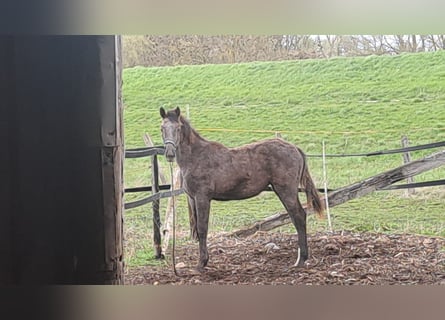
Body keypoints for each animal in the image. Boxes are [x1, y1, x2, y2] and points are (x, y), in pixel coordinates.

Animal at [160, 107, 322, 270]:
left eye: (178, 128)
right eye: (162, 128)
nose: (169, 154)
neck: (195, 157)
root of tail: (295, 148)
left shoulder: (202, 198)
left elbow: (202, 228)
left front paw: (201, 263)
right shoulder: (192, 198)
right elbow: (197, 230)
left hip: (286, 191)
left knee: (299, 216)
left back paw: (300, 260)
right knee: (295, 217)